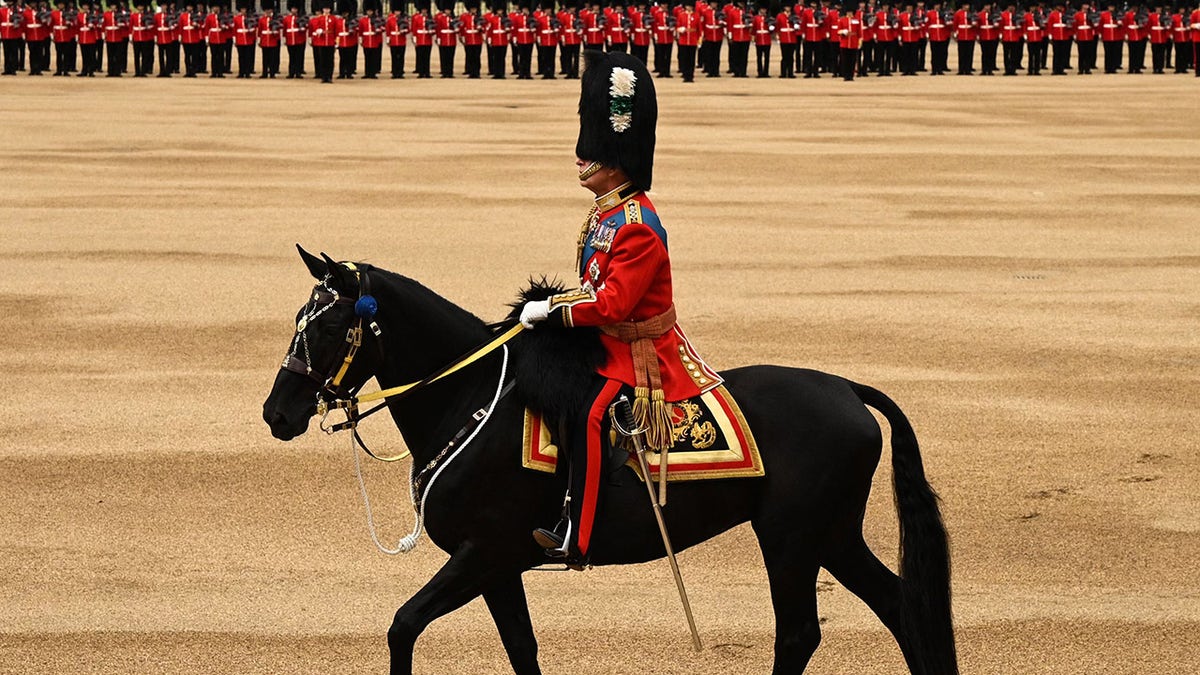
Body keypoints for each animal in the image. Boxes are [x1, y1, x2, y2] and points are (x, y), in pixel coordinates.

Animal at [262, 247, 955, 672]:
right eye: (298, 319)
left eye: (329, 328)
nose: (277, 413)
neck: (469, 397)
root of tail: (847, 388)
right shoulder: (497, 564)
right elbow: (522, 649)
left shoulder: (484, 552)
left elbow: (403, 626)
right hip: (830, 534)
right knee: (901, 605)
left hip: (790, 536)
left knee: (800, 632)